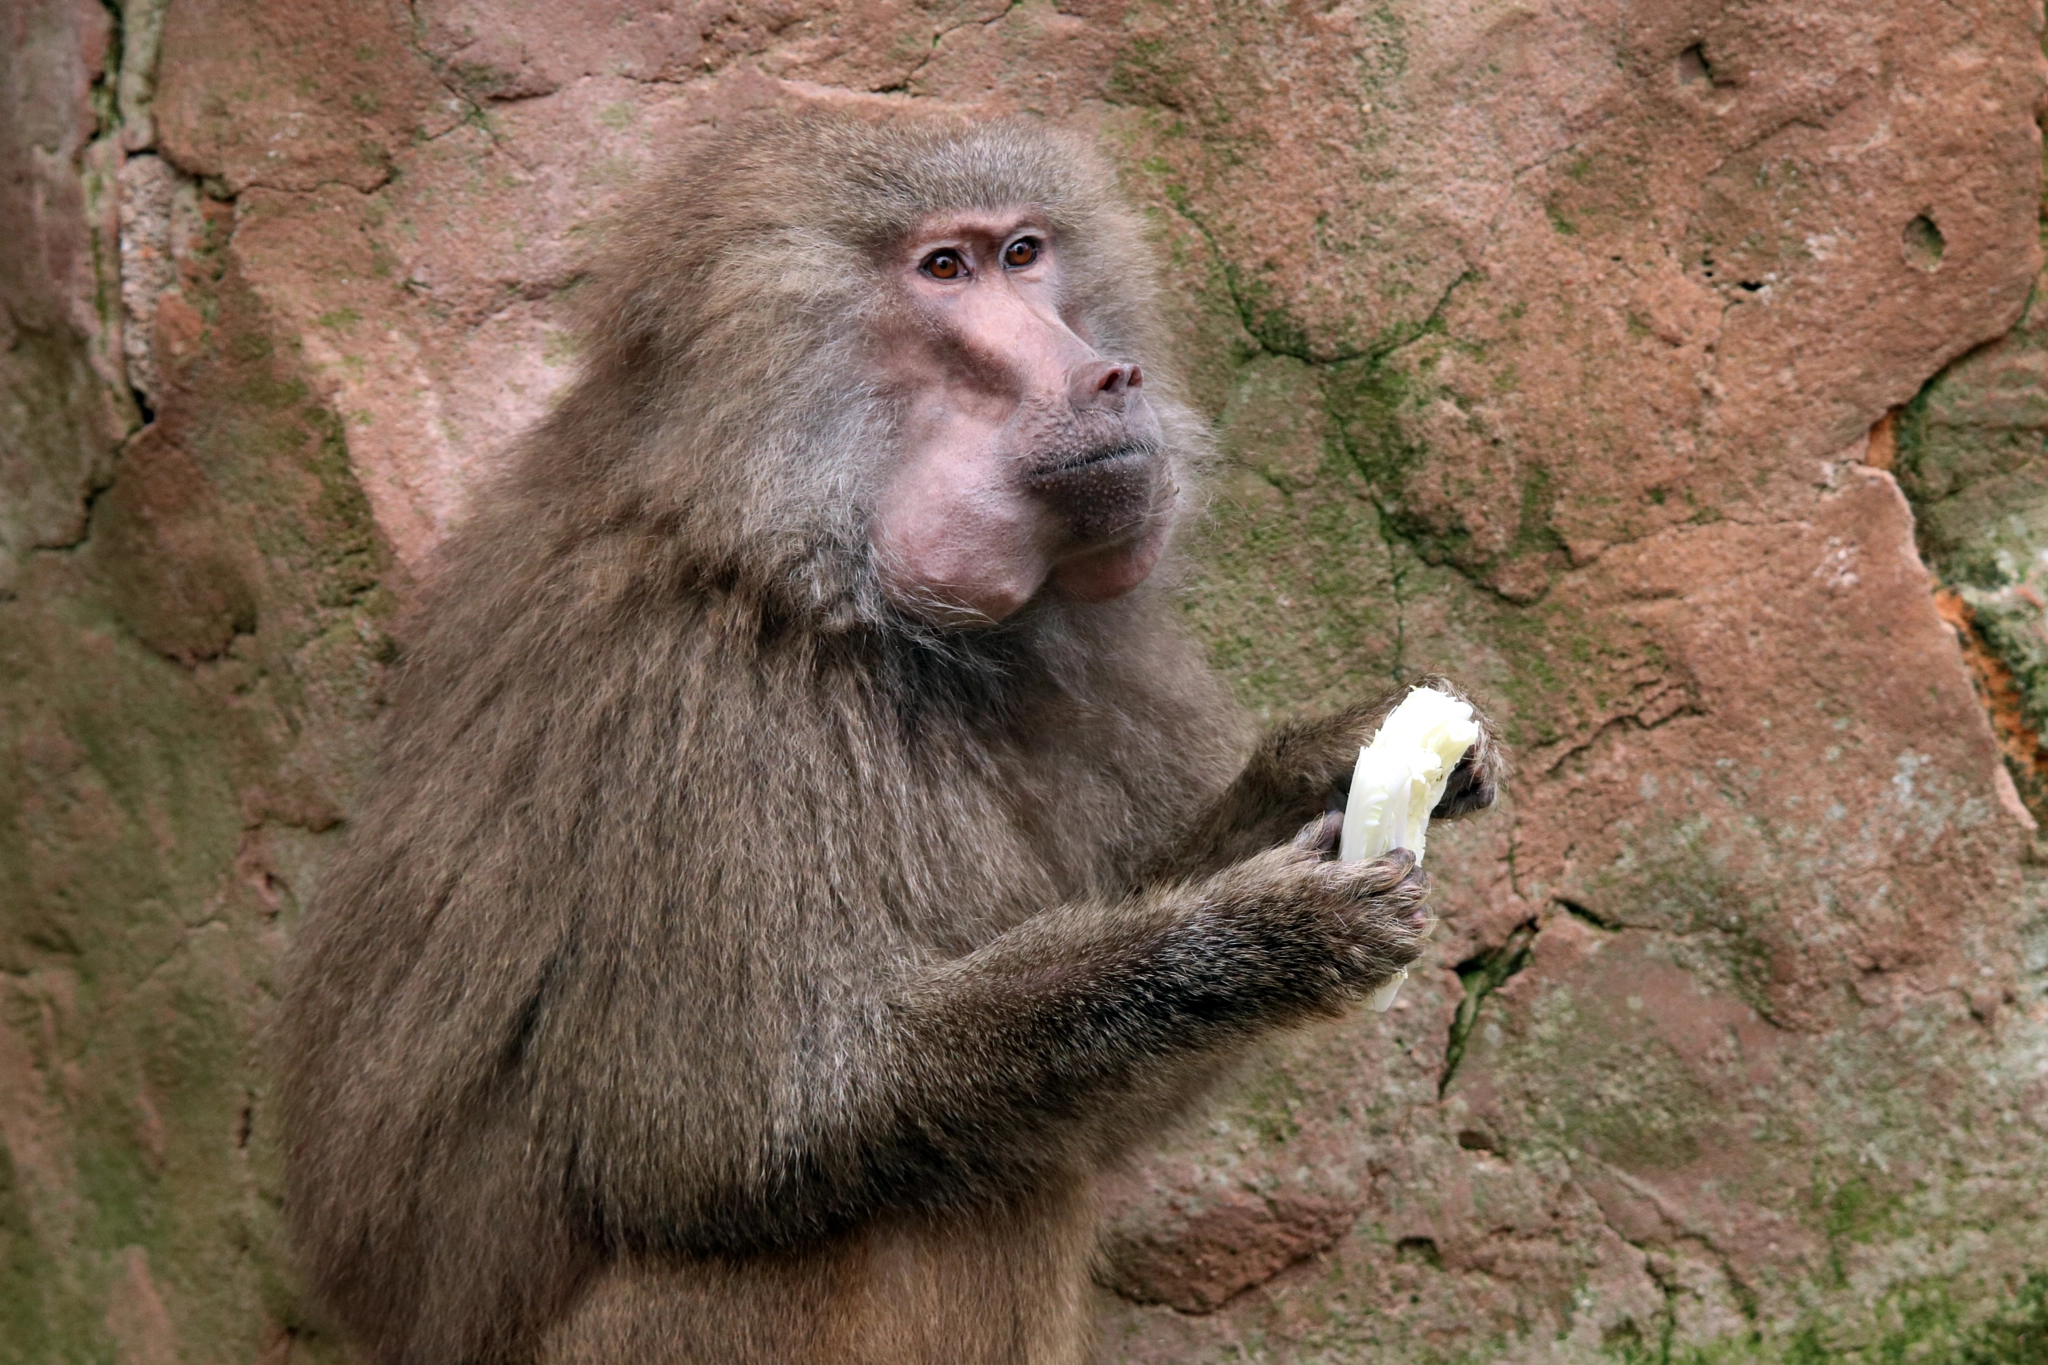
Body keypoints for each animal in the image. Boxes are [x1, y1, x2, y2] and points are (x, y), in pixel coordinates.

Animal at [277, 106, 1503, 1365]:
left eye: (1024, 253)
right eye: (944, 269)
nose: (1108, 375)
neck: (821, 578)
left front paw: (1337, 762)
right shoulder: (700, 705)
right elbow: (726, 1131)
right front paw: (1259, 941)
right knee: (947, 1200)